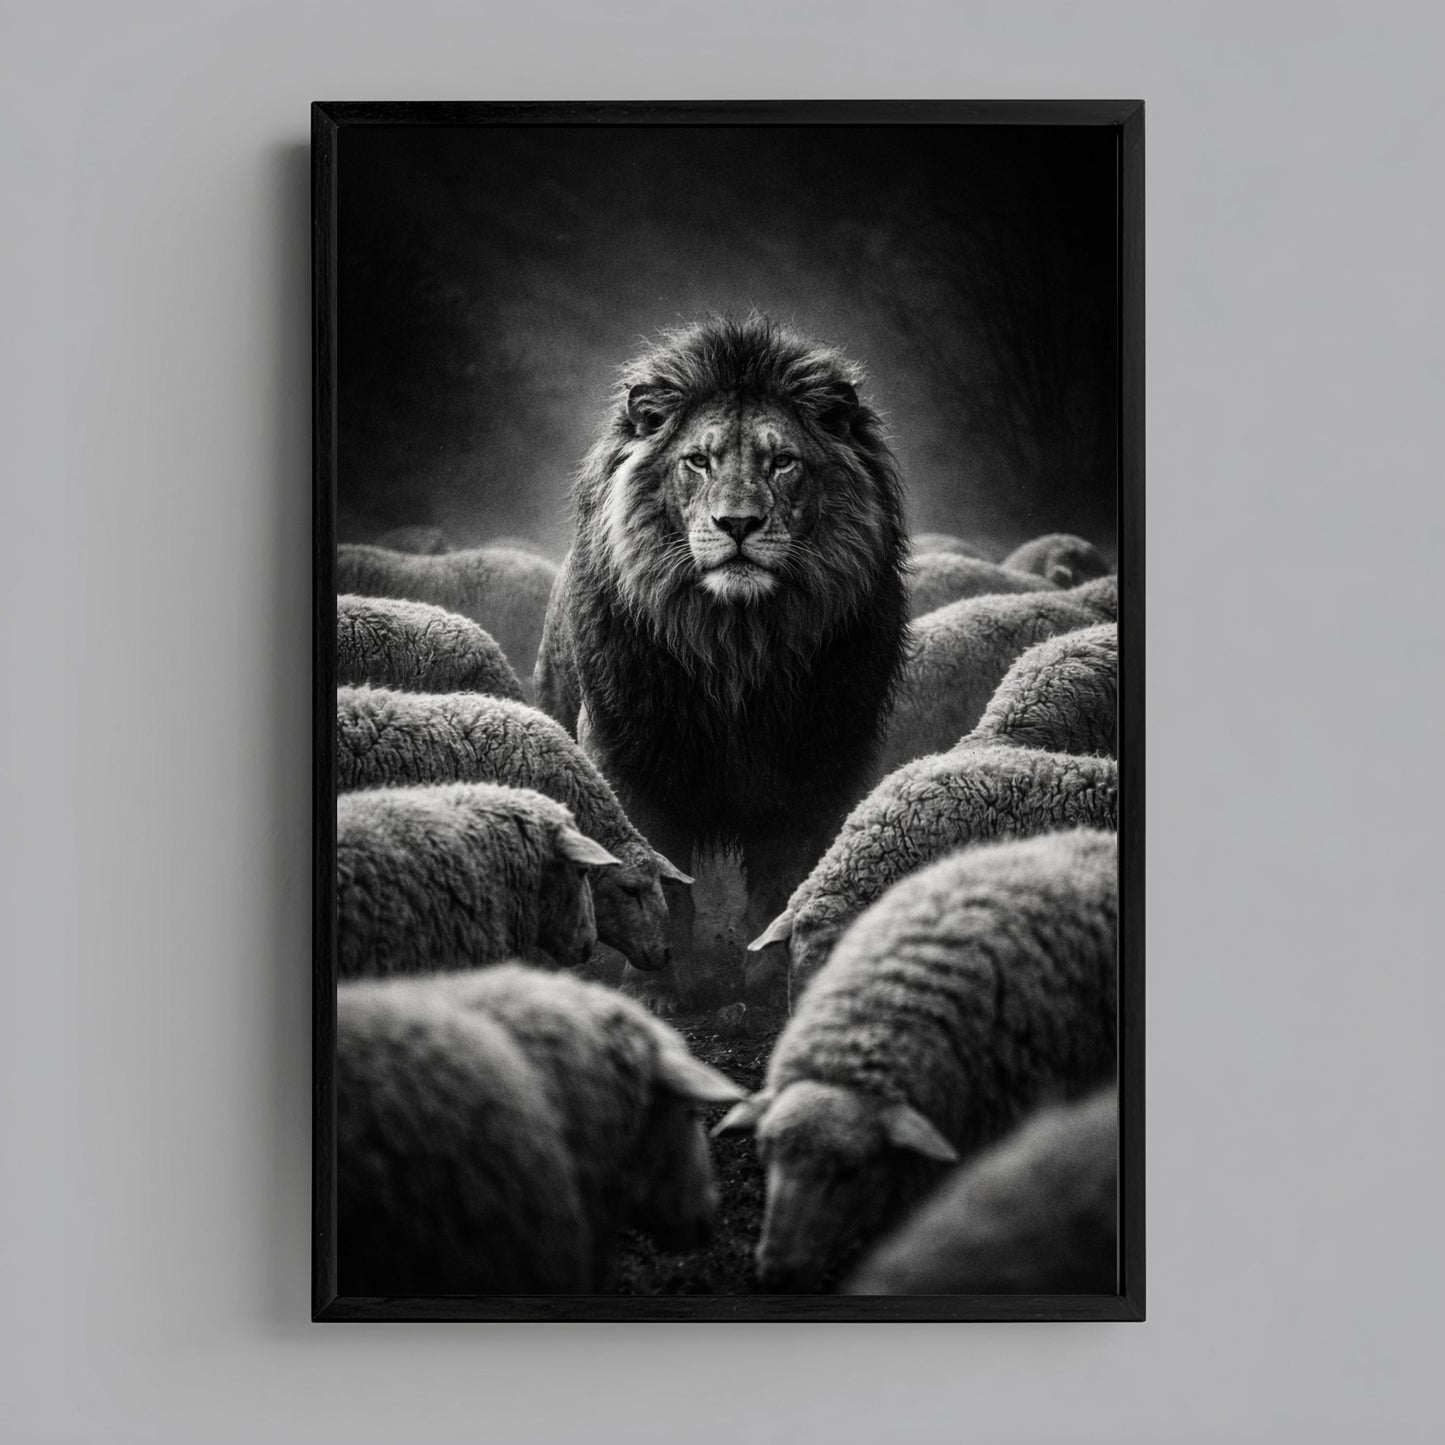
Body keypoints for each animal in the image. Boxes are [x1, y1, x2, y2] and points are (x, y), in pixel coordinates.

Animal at [536, 316, 910, 1000]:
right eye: (698, 461)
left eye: (782, 462)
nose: (738, 523)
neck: (736, 644)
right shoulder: (630, 753)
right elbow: (655, 864)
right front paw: (656, 986)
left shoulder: (817, 764)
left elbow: (786, 880)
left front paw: (766, 988)